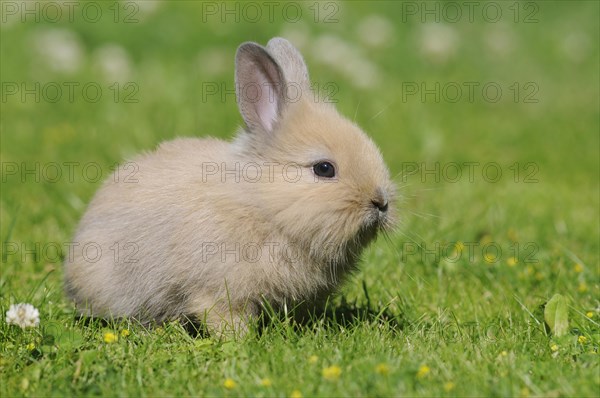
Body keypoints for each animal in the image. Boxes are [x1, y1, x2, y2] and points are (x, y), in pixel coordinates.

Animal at [64, 37, 394, 336]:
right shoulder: (219, 292)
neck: (262, 204)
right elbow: (225, 317)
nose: (381, 203)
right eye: (324, 169)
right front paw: (241, 342)